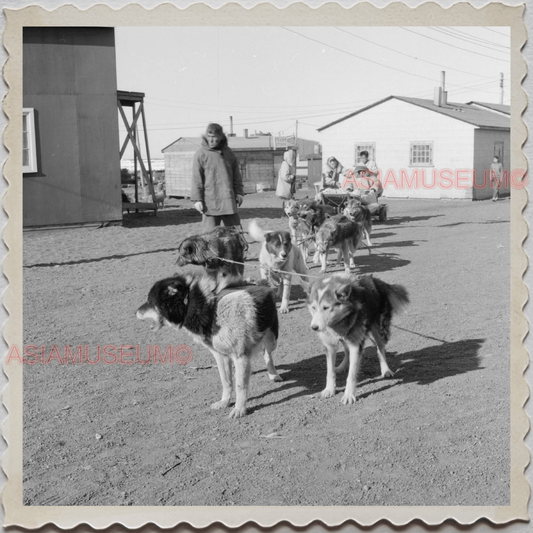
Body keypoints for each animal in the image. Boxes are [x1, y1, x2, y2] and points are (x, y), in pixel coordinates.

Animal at [137, 272, 282, 418]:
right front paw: (224, 402)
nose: (135, 312)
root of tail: (262, 284)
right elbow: (226, 381)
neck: (210, 309)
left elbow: (240, 387)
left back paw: (273, 374)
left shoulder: (240, 356)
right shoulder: (220, 355)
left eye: (150, 301)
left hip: (271, 340)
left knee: (267, 352)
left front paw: (239, 409)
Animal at [306, 274, 410, 404]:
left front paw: (349, 395)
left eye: (326, 307)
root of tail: (378, 281)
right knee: (346, 351)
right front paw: (329, 389)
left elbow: (352, 374)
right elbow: (330, 372)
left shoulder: (356, 345)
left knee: (380, 349)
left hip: (379, 331)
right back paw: (342, 367)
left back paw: (385, 370)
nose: (314, 327)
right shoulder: (330, 346)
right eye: (313, 307)